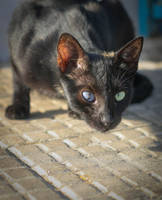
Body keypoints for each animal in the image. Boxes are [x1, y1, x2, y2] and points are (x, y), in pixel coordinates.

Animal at [5, 0, 153, 132]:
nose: (107, 121)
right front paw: (19, 106)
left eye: (120, 95)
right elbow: (19, 81)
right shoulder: (18, 50)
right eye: (88, 96)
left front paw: (73, 110)